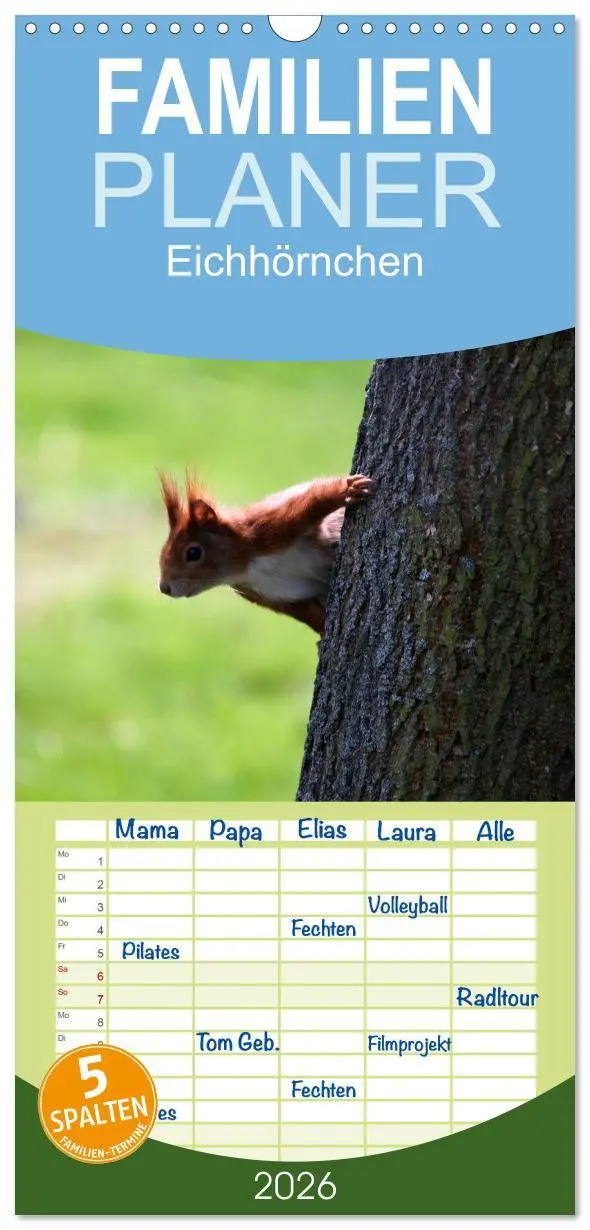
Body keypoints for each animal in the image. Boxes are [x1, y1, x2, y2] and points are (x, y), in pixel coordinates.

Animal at [158, 472, 373, 635]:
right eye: (162, 553)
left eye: (193, 552)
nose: (164, 588)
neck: (246, 567)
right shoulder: (271, 596)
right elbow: (306, 613)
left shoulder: (271, 526)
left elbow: (313, 501)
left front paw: (346, 489)